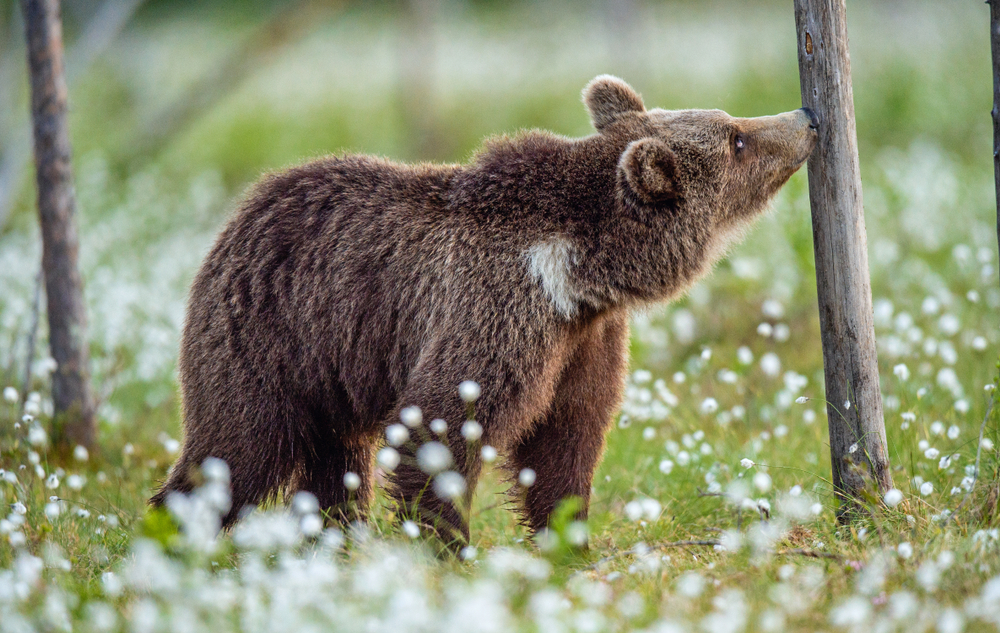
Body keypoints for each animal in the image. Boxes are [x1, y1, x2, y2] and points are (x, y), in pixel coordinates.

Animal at [150, 75, 820, 544]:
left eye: (730, 122)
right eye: (736, 138)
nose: (806, 117)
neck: (574, 275)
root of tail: (241, 211)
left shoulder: (582, 343)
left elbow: (565, 446)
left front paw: (568, 543)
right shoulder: (493, 314)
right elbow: (440, 429)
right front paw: (448, 550)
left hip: (329, 374)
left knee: (335, 466)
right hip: (266, 339)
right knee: (236, 449)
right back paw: (170, 535)